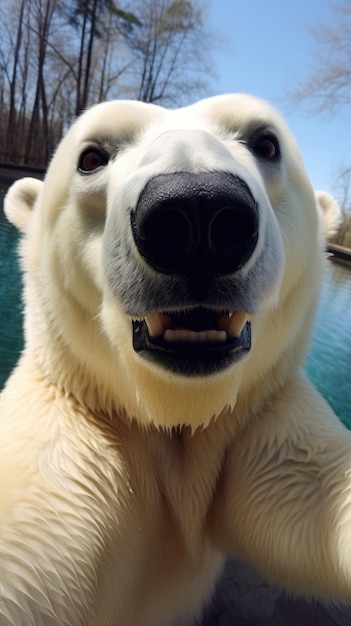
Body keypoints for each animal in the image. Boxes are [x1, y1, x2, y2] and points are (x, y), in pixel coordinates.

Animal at [0, 94, 350, 624]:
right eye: (91, 156)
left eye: (266, 142)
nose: (198, 211)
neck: (176, 410)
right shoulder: (74, 441)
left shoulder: (260, 425)